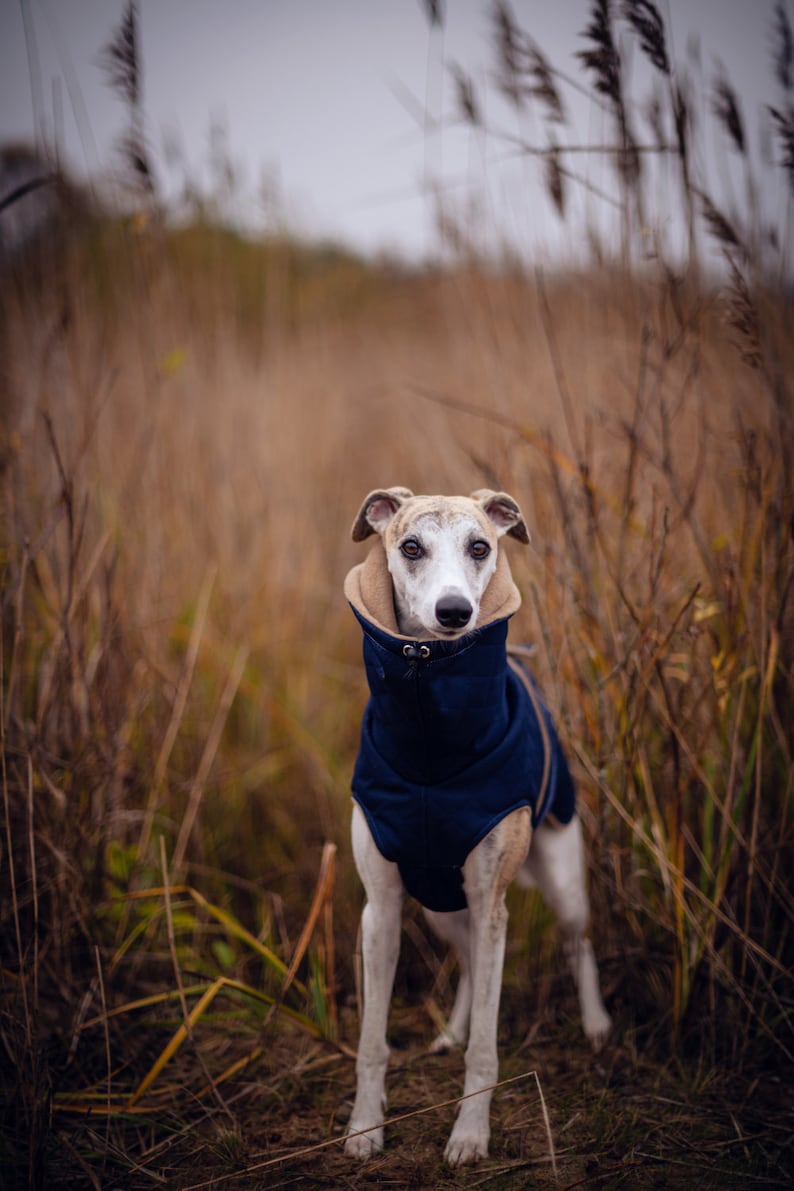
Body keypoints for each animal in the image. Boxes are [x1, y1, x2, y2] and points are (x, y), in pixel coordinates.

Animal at [340, 488, 609, 1167]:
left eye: (481, 546)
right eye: (410, 546)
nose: (455, 612)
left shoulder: (492, 904)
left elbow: (487, 1049)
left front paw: (469, 1135)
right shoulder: (381, 909)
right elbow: (372, 1041)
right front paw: (364, 1127)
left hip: (561, 880)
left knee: (578, 942)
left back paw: (596, 1024)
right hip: (439, 907)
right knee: (465, 961)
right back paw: (449, 1031)